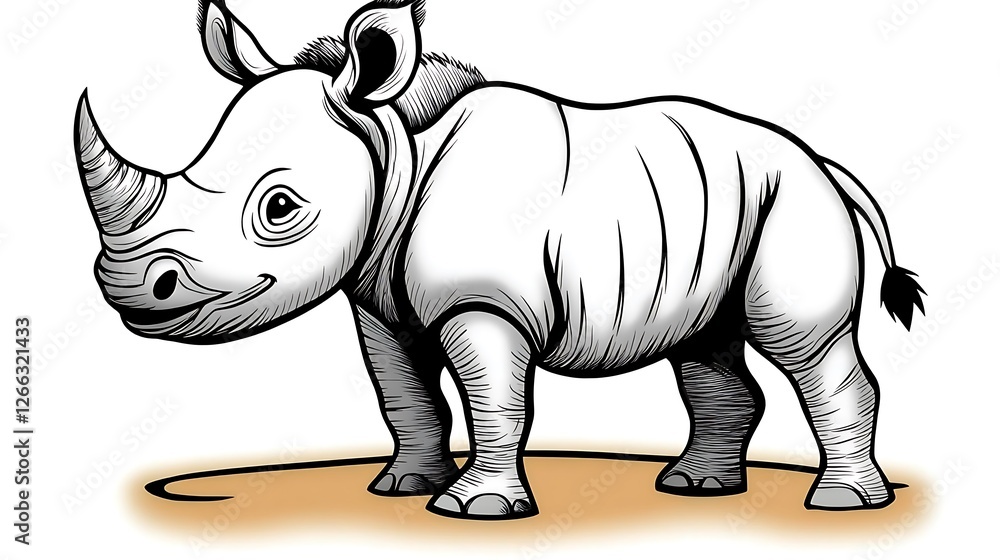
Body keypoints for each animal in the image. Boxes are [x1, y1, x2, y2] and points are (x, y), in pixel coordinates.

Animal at [75, 0, 925, 520]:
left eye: (280, 209)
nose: (131, 291)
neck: (398, 153)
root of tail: (823, 161)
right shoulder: (378, 301)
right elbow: (405, 395)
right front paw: (402, 486)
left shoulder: (484, 302)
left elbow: (496, 402)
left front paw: (473, 507)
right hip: (727, 202)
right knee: (705, 343)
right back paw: (696, 487)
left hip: (794, 202)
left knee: (804, 345)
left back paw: (843, 503)